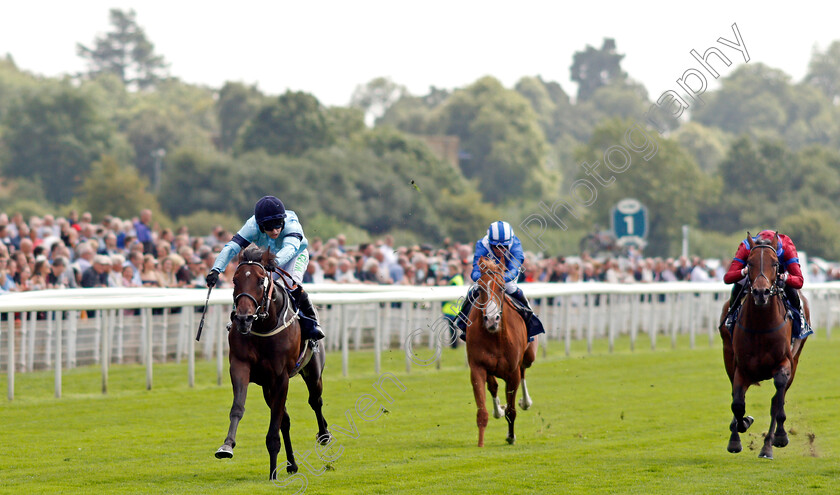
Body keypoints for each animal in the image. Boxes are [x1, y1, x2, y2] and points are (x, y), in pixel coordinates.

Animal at [213, 246, 332, 478]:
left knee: (315, 401)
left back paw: (324, 435)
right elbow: (239, 407)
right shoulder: (241, 367)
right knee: (285, 420)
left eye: (261, 280)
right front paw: (227, 446)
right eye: (234, 280)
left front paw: (272, 474)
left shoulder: (280, 377)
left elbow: (274, 426)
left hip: (313, 372)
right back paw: (292, 464)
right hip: (267, 387)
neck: (263, 326)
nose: (243, 318)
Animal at [466, 258, 540, 448]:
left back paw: (526, 402)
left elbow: (512, 409)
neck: (495, 336)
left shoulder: (512, 372)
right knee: (493, 385)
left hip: (529, 356)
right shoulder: (477, 367)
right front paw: (480, 443)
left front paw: (511, 436)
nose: (492, 319)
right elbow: (482, 409)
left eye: (501, 287)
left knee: (524, 370)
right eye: (480, 288)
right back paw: (498, 409)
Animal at [720, 232, 812, 462]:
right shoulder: (741, 367)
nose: (761, 292)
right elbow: (737, 403)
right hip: (728, 356)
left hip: (795, 361)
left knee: (776, 400)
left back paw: (769, 445)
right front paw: (739, 431)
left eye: (775, 263)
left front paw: (778, 437)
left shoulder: (785, 362)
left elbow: (777, 401)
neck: (761, 325)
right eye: (749, 263)